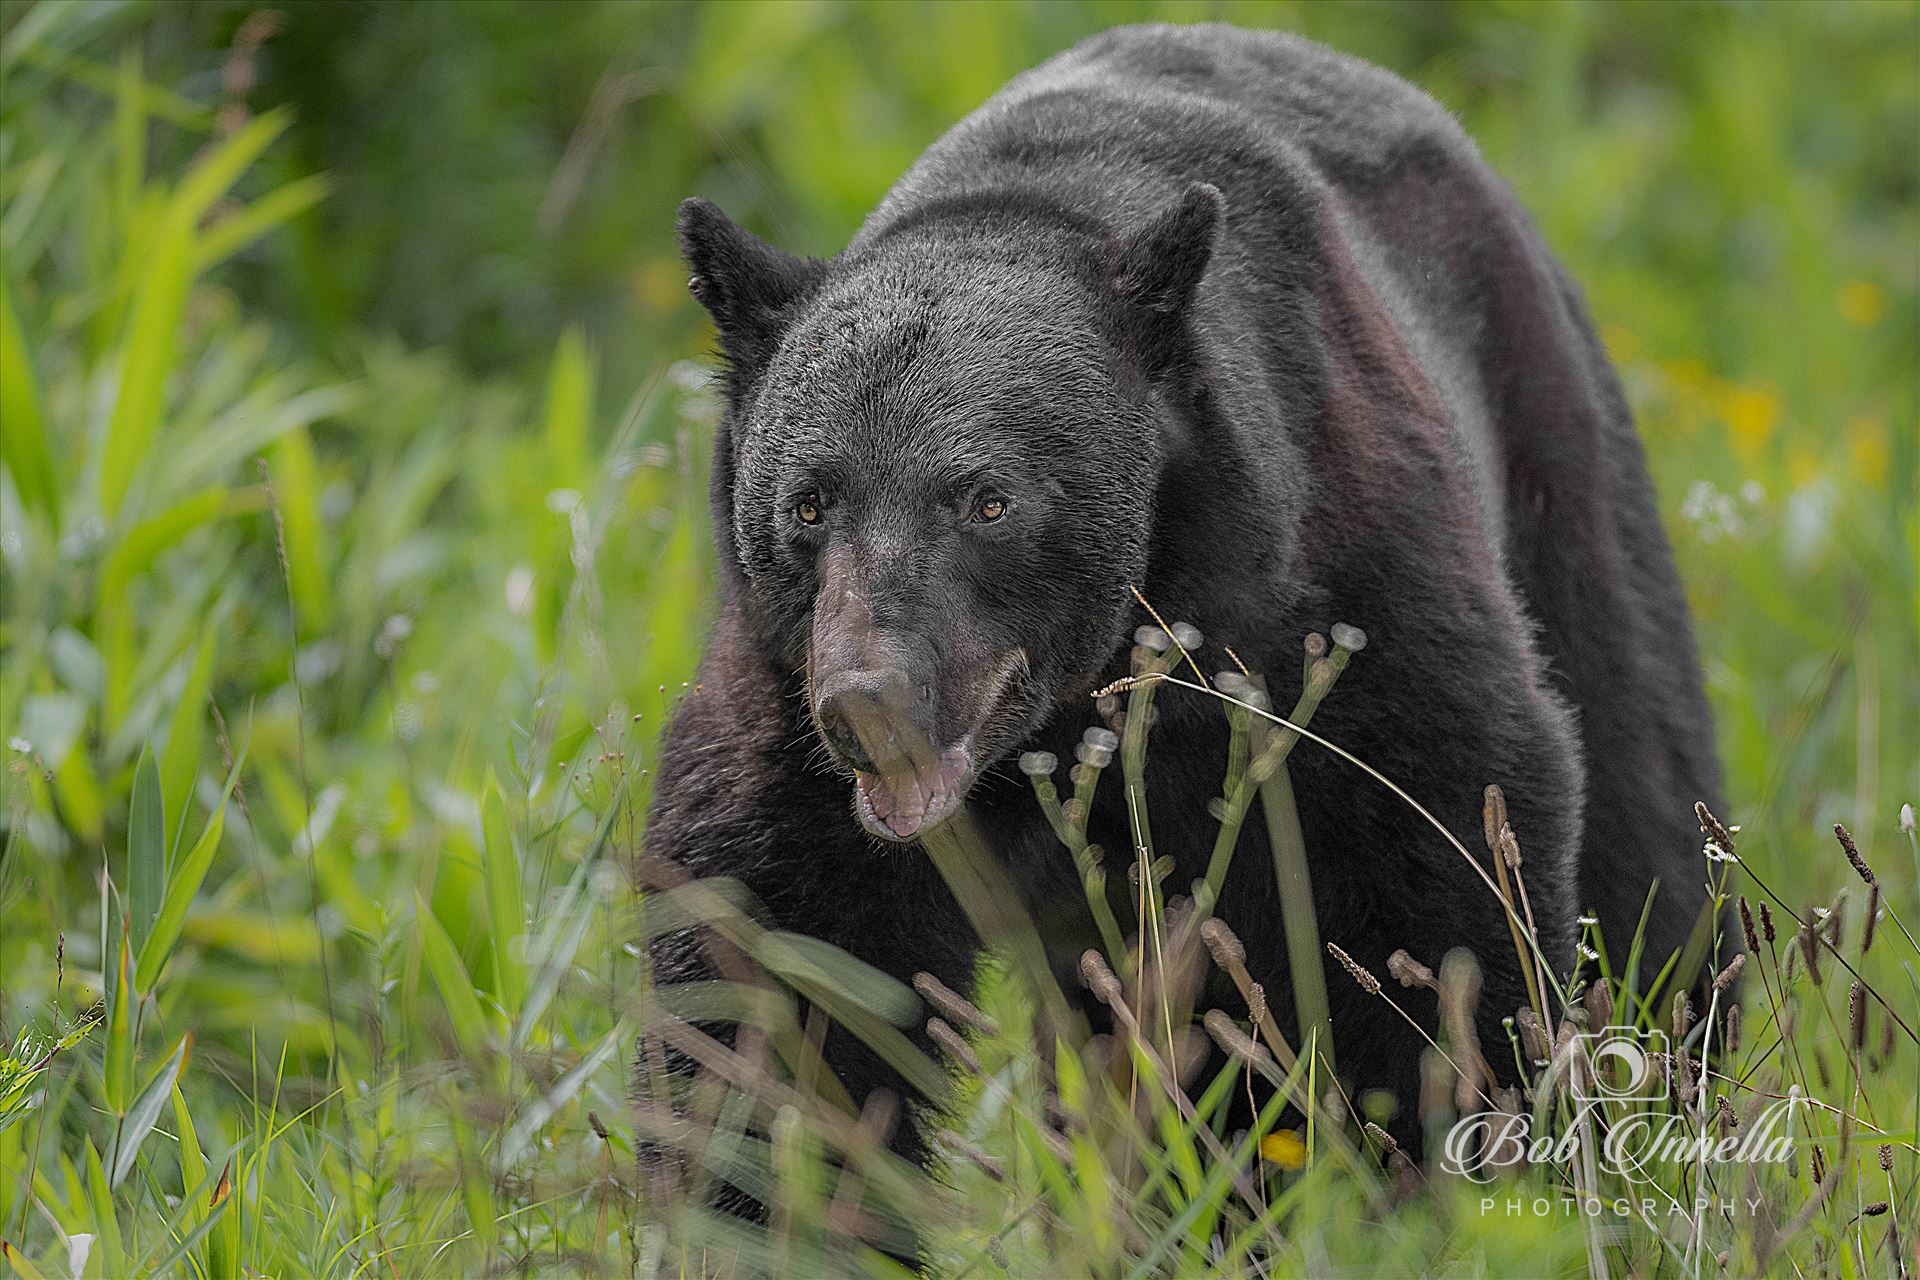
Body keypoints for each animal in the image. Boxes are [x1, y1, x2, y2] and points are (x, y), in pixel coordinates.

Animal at [645, 20, 1728, 1159]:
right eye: (809, 503)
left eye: (988, 500)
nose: (871, 704)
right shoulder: (785, 692)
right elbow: (775, 949)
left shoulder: (1343, 582)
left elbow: (1437, 862)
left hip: (1562, 473)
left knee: (1646, 801)